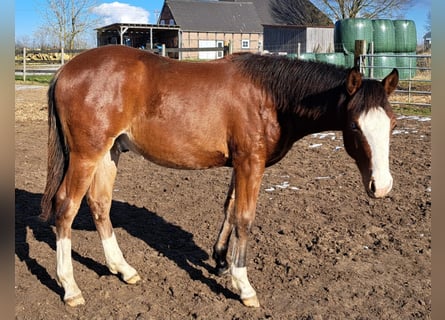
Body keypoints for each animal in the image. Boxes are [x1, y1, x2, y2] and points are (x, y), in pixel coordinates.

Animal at [40, 45, 398, 308]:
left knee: (100, 205)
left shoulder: (240, 164)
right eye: (354, 126)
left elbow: (229, 209)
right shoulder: (251, 163)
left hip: (110, 153)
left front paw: (221, 260)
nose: (381, 186)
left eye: (393, 124)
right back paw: (70, 288)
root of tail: (65, 71)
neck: (269, 95)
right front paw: (243, 285)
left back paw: (123, 269)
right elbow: (244, 217)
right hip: (87, 155)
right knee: (66, 208)